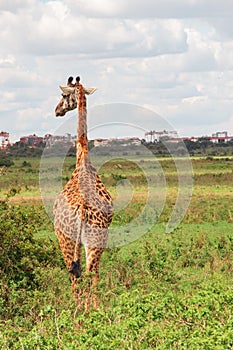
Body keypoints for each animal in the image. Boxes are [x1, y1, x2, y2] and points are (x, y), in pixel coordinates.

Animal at [53, 80, 114, 308]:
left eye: (63, 95)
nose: (57, 110)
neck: (83, 158)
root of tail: (82, 209)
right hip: (97, 238)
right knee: (92, 272)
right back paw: (94, 308)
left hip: (66, 239)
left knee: (75, 273)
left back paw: (78, 309)